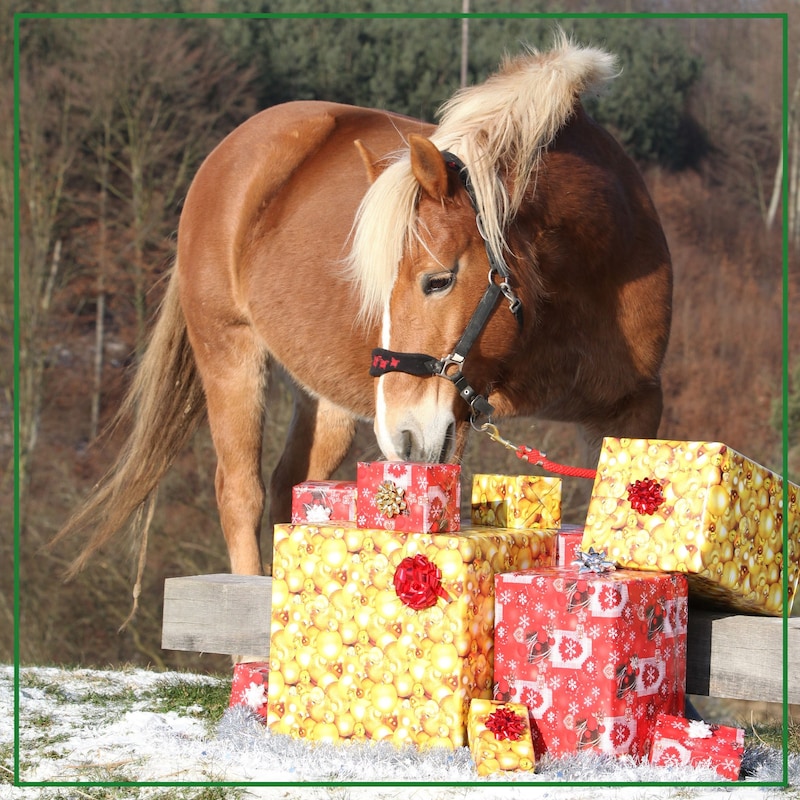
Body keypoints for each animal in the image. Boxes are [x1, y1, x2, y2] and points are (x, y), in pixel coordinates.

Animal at [53, 35, 672, 589]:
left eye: (437, 280)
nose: (400, 436)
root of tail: (232, 151)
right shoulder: (449, 422)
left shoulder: (631, 410)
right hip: (229, 351)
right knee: (240, 492)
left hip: (328, 400)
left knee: (289, 486)